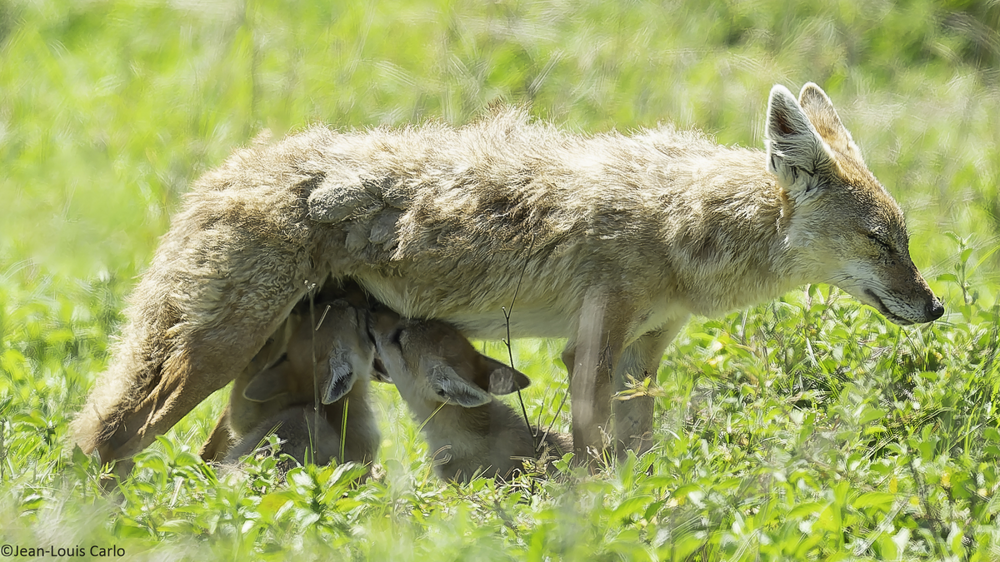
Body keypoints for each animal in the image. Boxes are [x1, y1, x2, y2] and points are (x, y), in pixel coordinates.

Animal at [74, 83, 940, 468]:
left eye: (904, 239)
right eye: (880, 242)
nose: (932, 306)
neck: (681, 225)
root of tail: (221, 172)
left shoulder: (645, 351)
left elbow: (637, 454)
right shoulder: (590, 349)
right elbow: (590, 458)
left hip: (251, 366)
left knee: (201, 447)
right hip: (209, 357)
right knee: (105, 439)